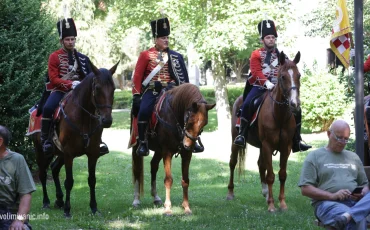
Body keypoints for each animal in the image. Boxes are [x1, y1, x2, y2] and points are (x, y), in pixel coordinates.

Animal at [31, 62, 119, 217]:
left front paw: (94, 208)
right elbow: (69, 181)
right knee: (42, 173)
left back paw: (59, 200)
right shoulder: (69, 153)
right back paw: (46, 202)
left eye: (113, 88)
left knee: (54, 169)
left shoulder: (93, 153)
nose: (107, 120)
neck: (83, 117)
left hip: (59, 153)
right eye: (97, 88)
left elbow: (92, 180)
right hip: (41, 151)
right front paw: (67, 210)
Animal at [131, 83, 215, 215]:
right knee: (137, 170)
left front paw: (186, 207)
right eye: (190, 121)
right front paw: (168, 208)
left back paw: (156, 197)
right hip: (137, 146)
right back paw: (136, 200)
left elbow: (185, 180)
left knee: (153, 165)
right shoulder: (167, 152)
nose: (188, 145)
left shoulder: (186, 154)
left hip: (159, 150)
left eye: (204, 124)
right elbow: (168, 180)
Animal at [227, 50, 302, 212]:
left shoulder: (285, 147)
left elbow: (282, 174)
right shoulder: (267, 145)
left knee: (260, 165)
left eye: (299, 75)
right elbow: (271, 176)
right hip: (236, 141)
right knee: (233, 162)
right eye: (283, 76)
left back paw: (266, 193)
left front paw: (282, 203)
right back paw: (230, 193)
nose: (295, 103)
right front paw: (272, 206)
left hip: (261, 146)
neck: (279, 115)